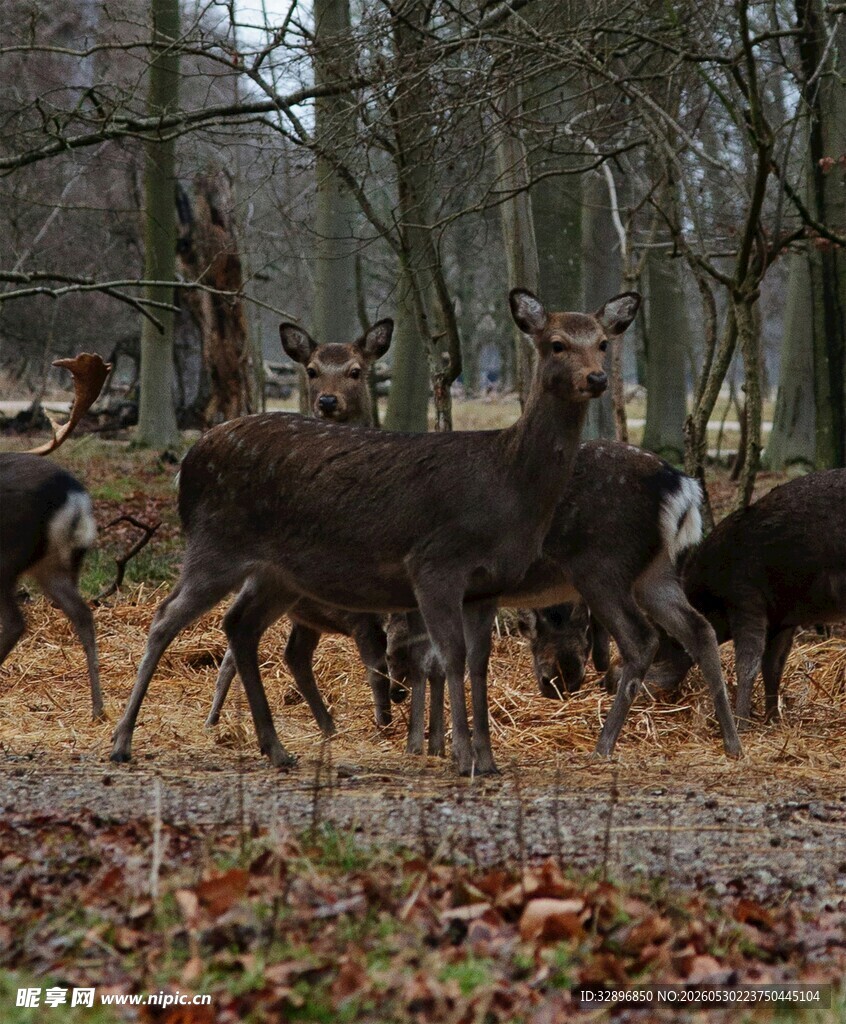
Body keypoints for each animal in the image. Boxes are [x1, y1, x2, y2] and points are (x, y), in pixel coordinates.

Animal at [0, 353, 111, 719]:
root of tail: (75, 496)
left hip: (7, 555)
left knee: (16, 622)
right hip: (57, 565)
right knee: (84, 615)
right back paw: (98, 708)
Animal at [205, 319, 400, 731]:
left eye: (355, 371)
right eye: (311, 370)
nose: (327, 401)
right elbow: (377, 666)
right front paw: (384, 725)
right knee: (235, 649)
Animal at [386, 441, 742, 759]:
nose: (558, 683)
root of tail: (683, 488)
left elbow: (430, 658)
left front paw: (421, 744)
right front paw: (431, 744)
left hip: (602, 567)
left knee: (642, 639)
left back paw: (603, 745)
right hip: (656, 573)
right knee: (700, 629)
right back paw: (732, 741)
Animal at [646, 469, 846, 728]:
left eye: (656, 653)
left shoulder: (746, 598)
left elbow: (748, 662)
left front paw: (741, 721)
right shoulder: (782, 619)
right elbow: (773, 665)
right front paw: (772, 719)